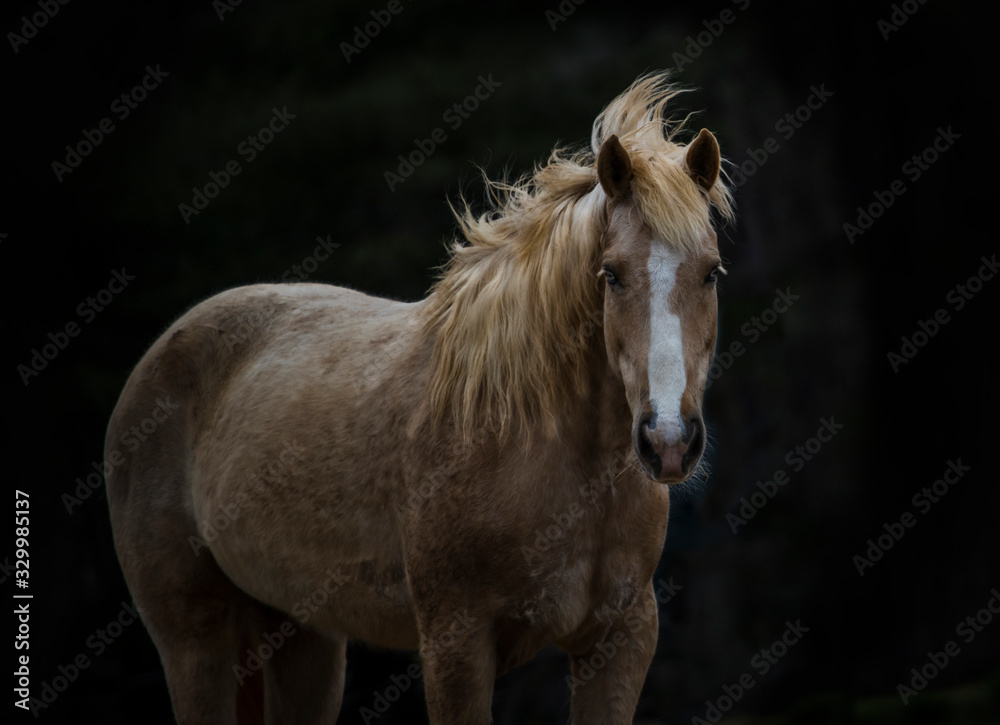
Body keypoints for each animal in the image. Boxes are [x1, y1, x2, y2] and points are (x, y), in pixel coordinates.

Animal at [105, 71, 735, 725]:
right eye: (611, 275)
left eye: (711, 272)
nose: (668, 441)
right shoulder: (456, 645)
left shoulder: (621, 639)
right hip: (195, 642)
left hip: (302, 635)